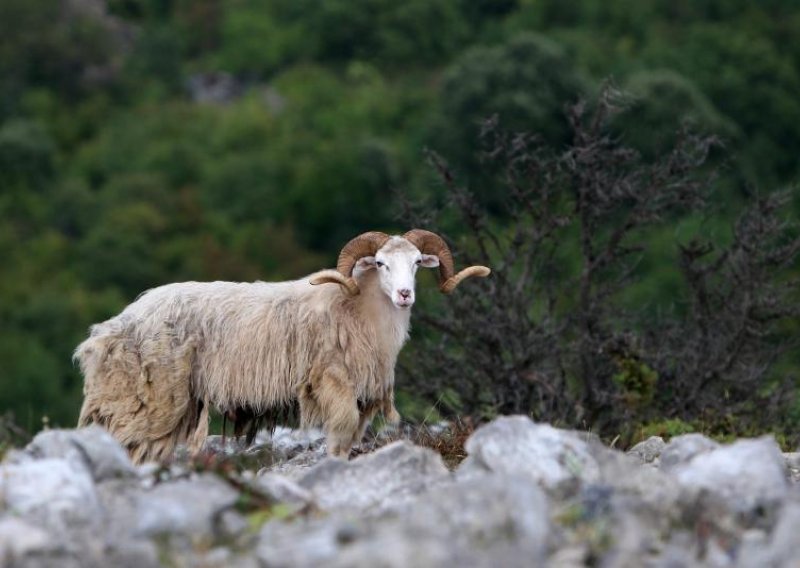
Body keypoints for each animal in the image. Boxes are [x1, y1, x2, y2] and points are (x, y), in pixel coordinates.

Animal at [76, 229, 488, 464]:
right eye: (381, 263)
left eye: (417, 262)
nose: (404, 294)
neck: (356, 309)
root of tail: (104, 333)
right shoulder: (333, 384)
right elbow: (339, 437)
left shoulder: (363, 396)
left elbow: (350, 438)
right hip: (145, 401)